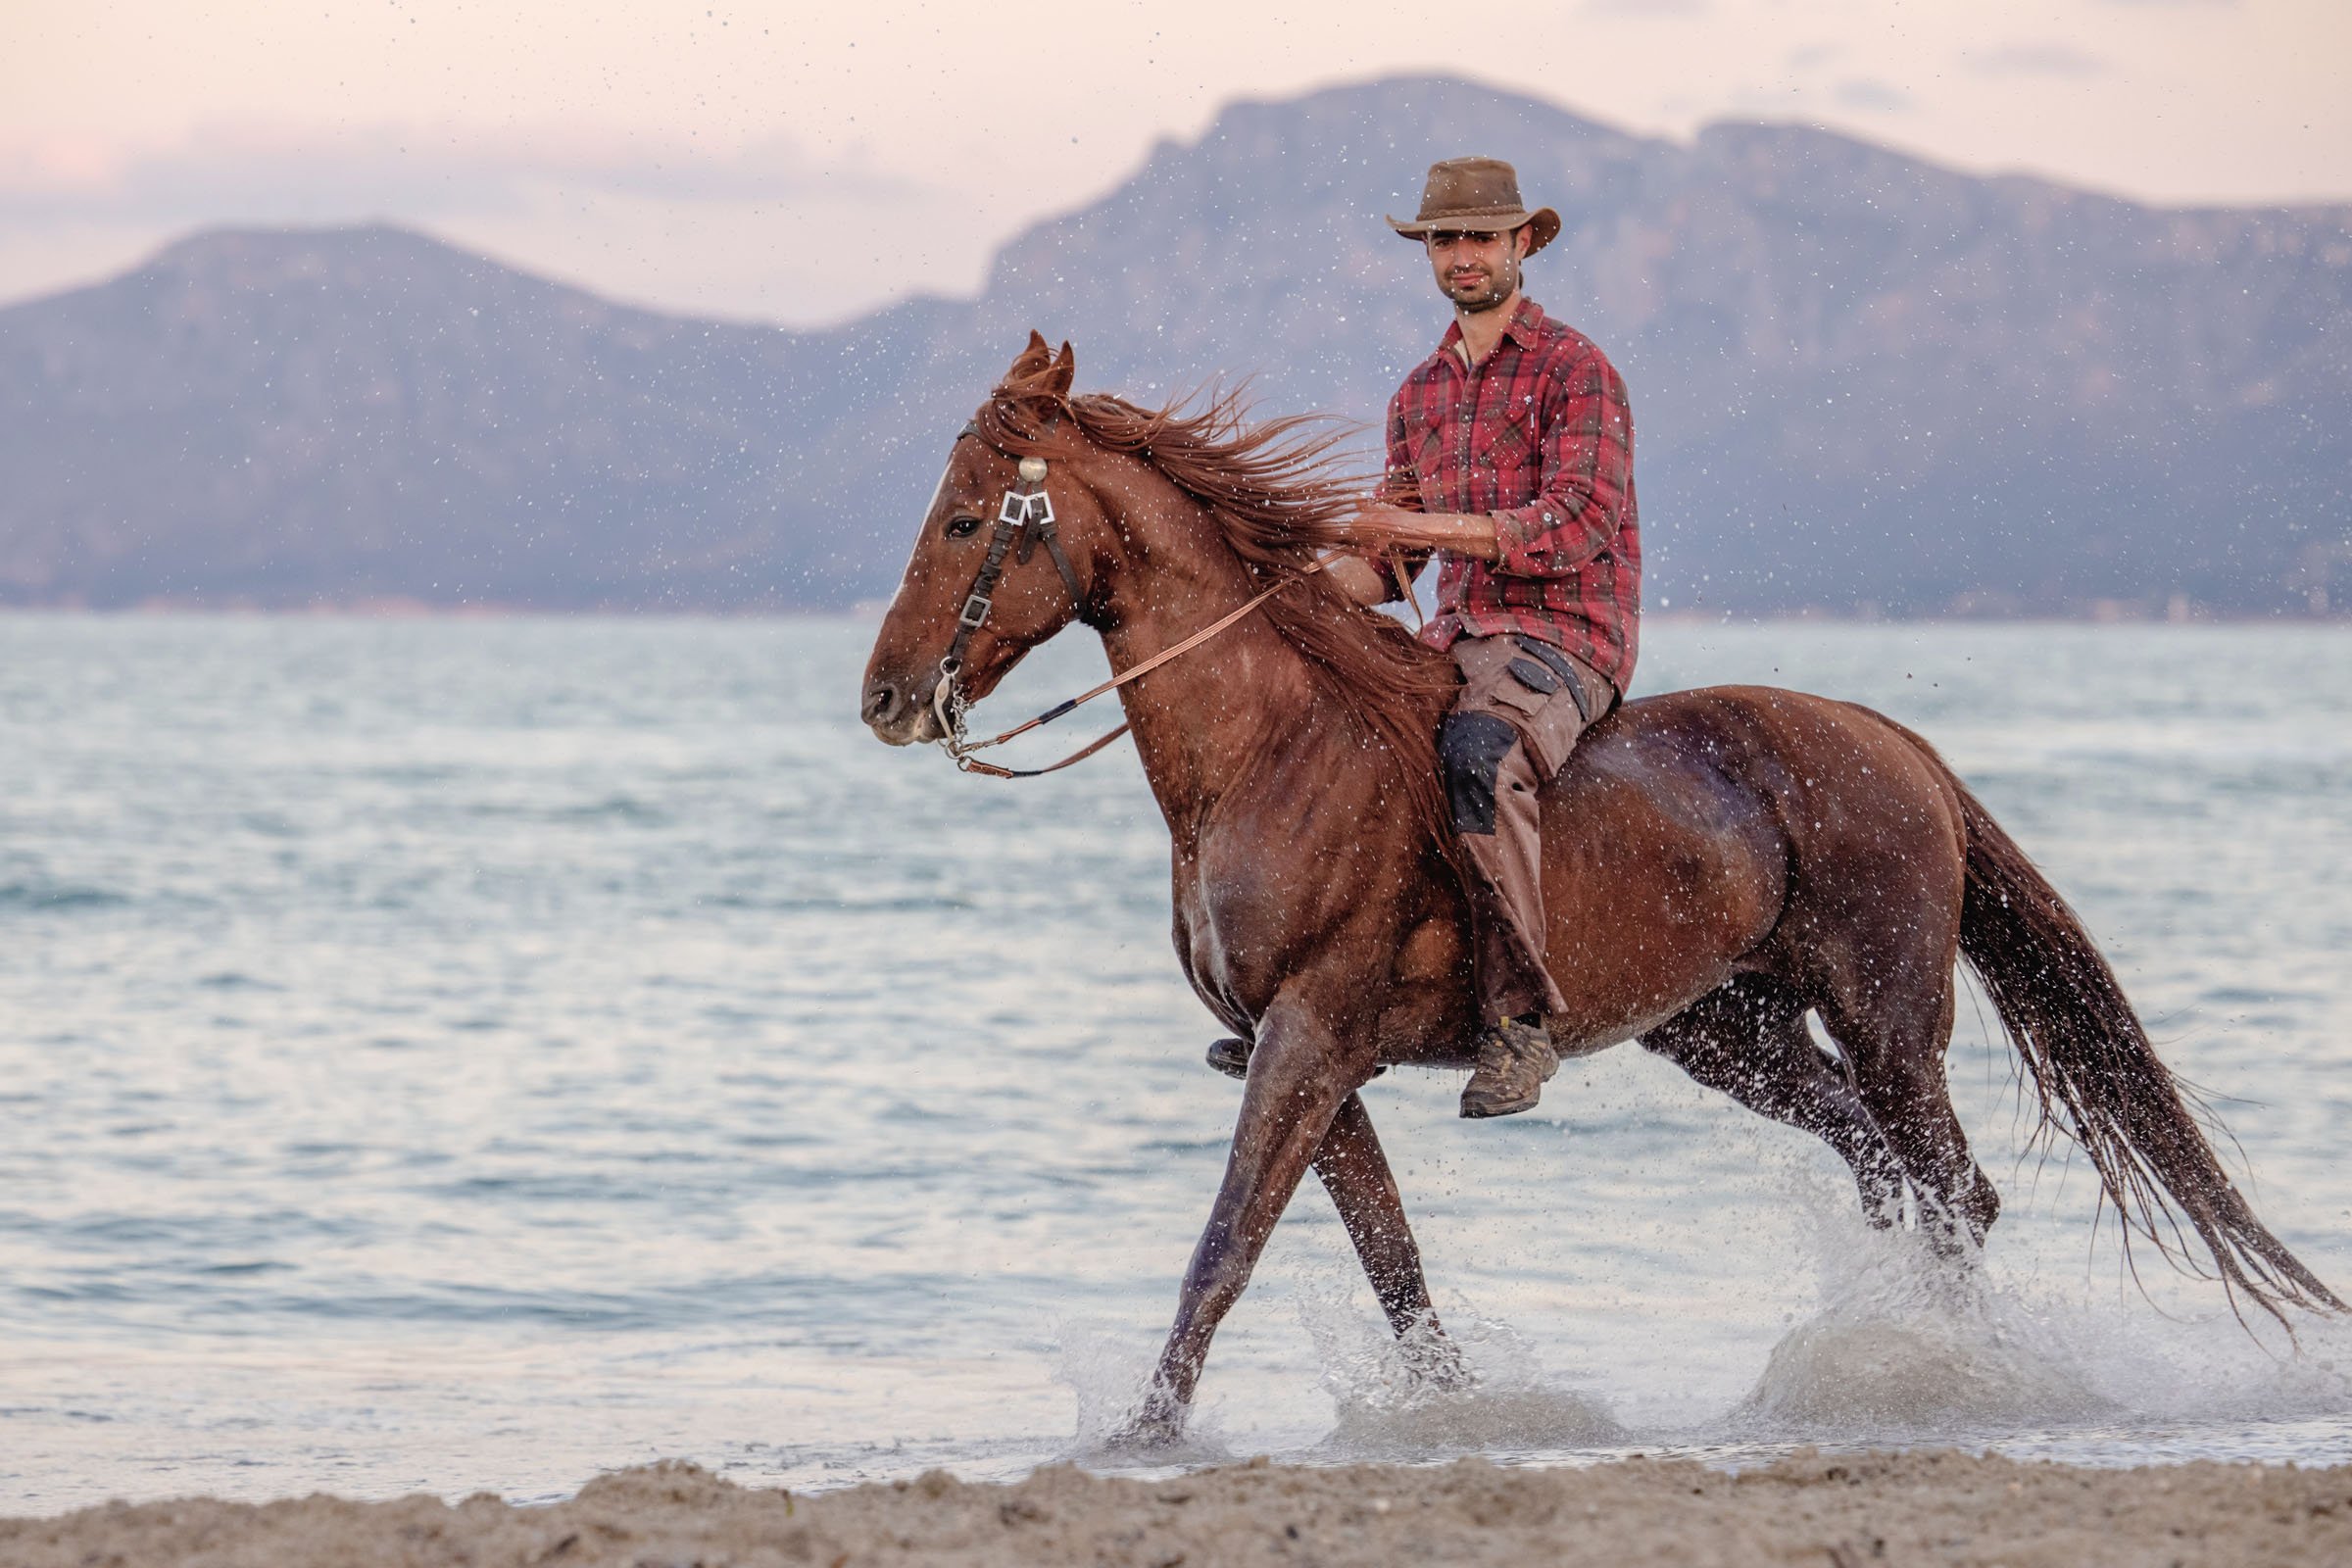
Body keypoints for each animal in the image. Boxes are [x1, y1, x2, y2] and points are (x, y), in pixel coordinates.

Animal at [859, 332, 2340, 1443]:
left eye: (967, 517)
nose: (883, 697)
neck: (1271, 753)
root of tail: (1889, 740)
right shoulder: (1307, 1060)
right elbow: (1392, 1264)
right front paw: (1457, 1414)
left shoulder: (1307, 1039)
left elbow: (1224, 1248)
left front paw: (1143, 1436)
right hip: (1729, 1032)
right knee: (1874, 1159)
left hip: (1886, 1014)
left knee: (1950, 1185)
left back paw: (1962, 1375)